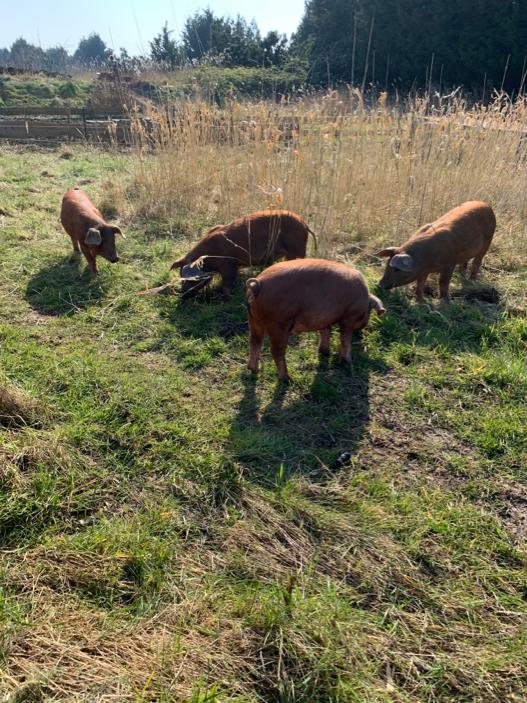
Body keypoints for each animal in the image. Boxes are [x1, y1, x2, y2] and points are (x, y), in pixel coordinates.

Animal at [171, 208, 316, 298]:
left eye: (194, 280)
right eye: (181, 274)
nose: (182, 296)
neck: (210, 254)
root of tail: (304, 224)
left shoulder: (229, 264)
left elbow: (227, 283)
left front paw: (226, 297)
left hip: (297, 247)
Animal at [245, 258, 386, 382]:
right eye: (369, 312)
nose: (360, 334)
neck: (364, 300)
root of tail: (258, 284)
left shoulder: (324, 318)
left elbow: (325, 331)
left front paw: (325, 352)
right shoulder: (349, 317)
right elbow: (345, 339)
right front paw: (347, 362)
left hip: (254, 321)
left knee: (254, 342)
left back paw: (254, 370)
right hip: (279, 323)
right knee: (276, 351)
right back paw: (288, 380)